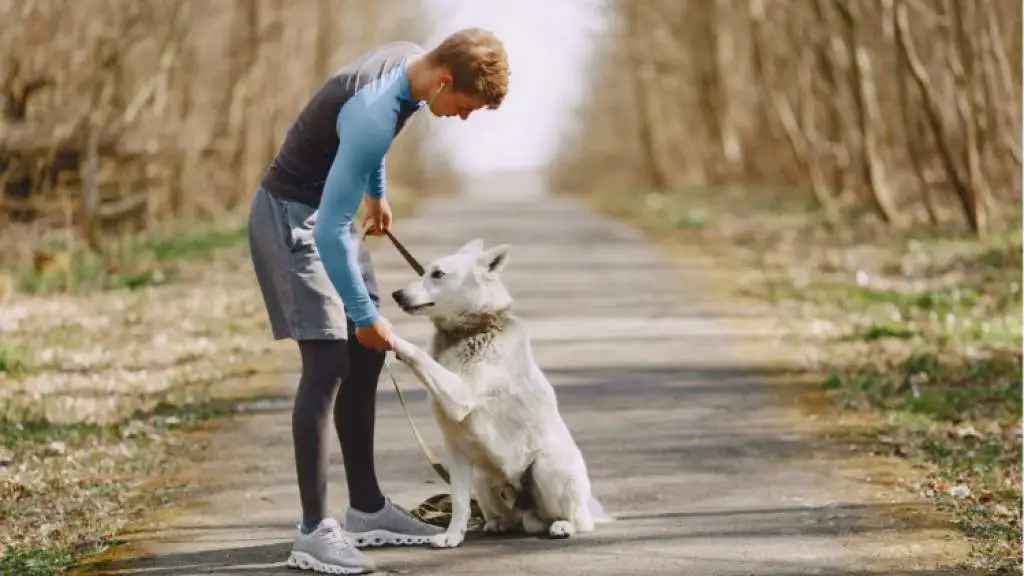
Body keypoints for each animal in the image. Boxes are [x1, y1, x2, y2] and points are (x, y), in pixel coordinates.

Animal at [387, 237, 610, 545]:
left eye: (438, 274)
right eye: (424, 272)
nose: (396, 294)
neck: (471, 332)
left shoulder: (460, 396)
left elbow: (419, 354)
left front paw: (384, 332)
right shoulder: (456, 450)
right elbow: (459, 501)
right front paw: (453, 536)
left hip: (547, 466)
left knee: (579, 521)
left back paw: (563, 525)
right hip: (483, 480)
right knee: (505, 515)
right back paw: (497, 524)